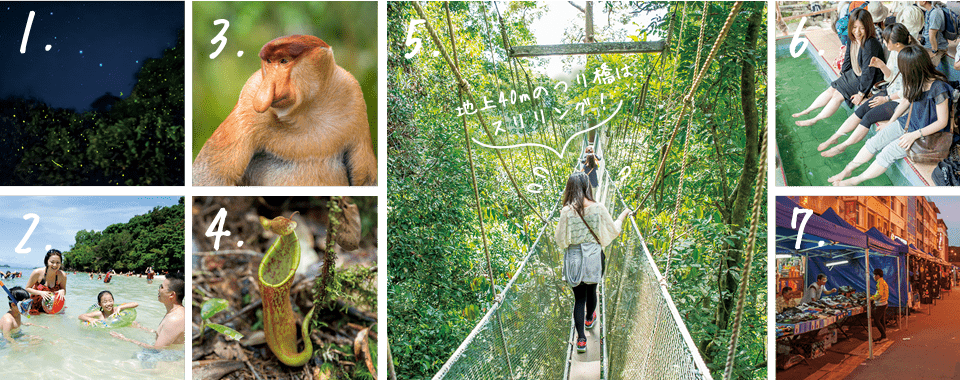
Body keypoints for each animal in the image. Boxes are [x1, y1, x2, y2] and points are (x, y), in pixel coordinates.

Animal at [193, 35, 376, 186]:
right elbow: (210, 176)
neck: (306, 111)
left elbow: (366, 179)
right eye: (269, 61)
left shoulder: (353, 95)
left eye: (283, 61)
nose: (264, 94)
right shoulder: (250, 96)